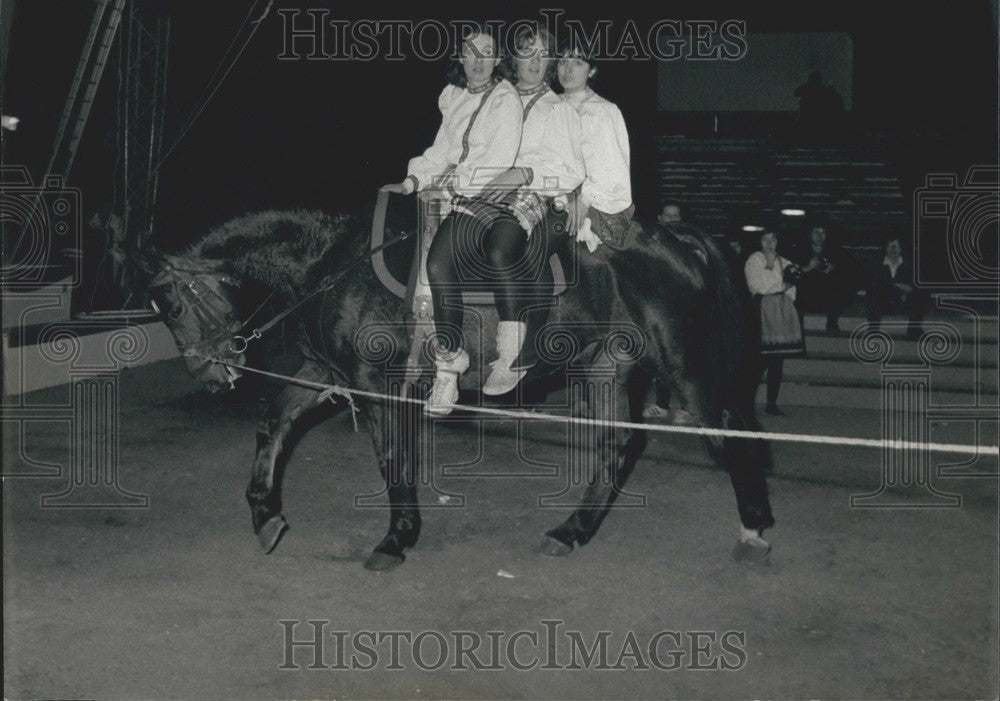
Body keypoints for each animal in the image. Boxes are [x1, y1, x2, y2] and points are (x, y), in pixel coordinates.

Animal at [139, 206, 772, 568]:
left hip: (684, 368)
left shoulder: (376, 384)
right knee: (618, 447)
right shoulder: (326, 374)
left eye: (174, 306)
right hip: (606, 365)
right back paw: (571, 532)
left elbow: (393, 458)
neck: (333, 266)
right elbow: (274, 426)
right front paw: (264, 515)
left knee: (729, 432)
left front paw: (396, 540)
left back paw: (755, 531)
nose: (209, 375)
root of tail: (676, 239)